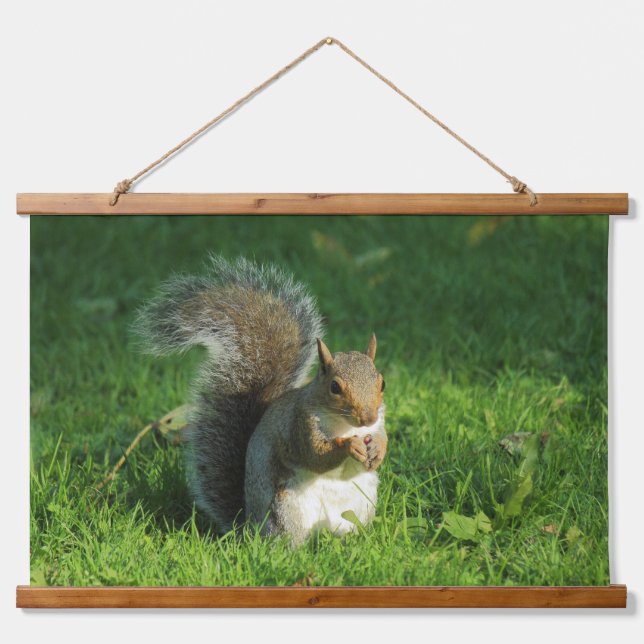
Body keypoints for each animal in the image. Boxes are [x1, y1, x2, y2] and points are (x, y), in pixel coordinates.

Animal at [134, 255, 387, 545]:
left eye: (382, 383)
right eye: (334, 387)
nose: (368, 417)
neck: (345, 424)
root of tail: (250, 527)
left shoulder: (380, 421)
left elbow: (382, 438)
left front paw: (378, 450)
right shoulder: (299, 426)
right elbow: (315, 456)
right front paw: (349, 446)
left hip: (359, 505)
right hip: (286, 509)